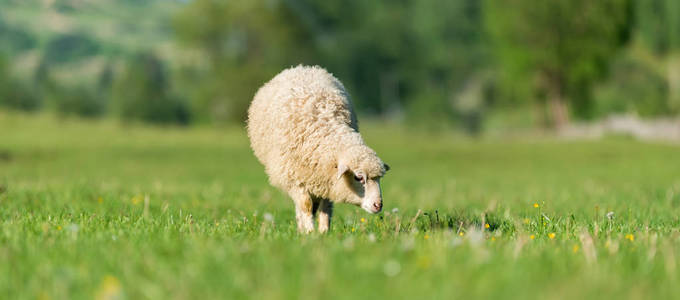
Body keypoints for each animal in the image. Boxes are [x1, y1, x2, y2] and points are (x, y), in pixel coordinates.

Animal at [248, 65, 388, 234]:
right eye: (359, 177)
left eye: (379, 178)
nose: (378, 205)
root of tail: (302, 67)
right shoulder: (296, 179)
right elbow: (306, 206)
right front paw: (309, 232)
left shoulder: (326, 179)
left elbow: (325, 207)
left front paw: (323, 232)